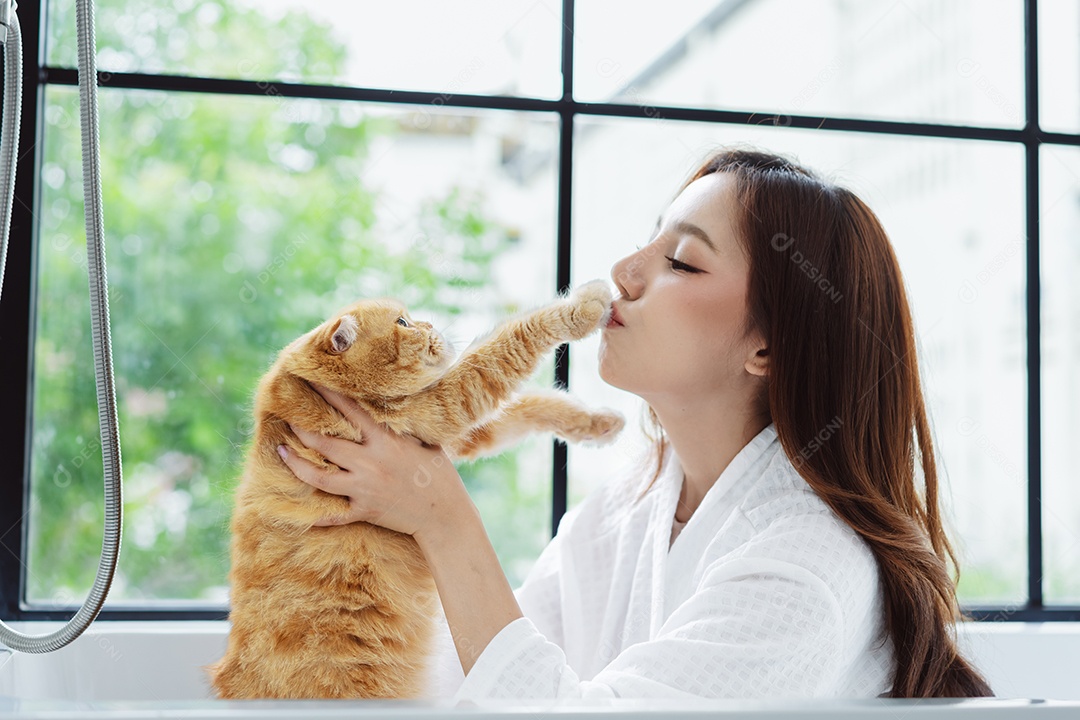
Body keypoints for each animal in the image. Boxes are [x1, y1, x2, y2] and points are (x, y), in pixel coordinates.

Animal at [207, 280, 626, 699]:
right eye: (404, 323)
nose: (429, 324)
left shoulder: (451, 432)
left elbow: (531, 406)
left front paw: (596, 422)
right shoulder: (447, 402)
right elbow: (515, 339)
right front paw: (585, 306)